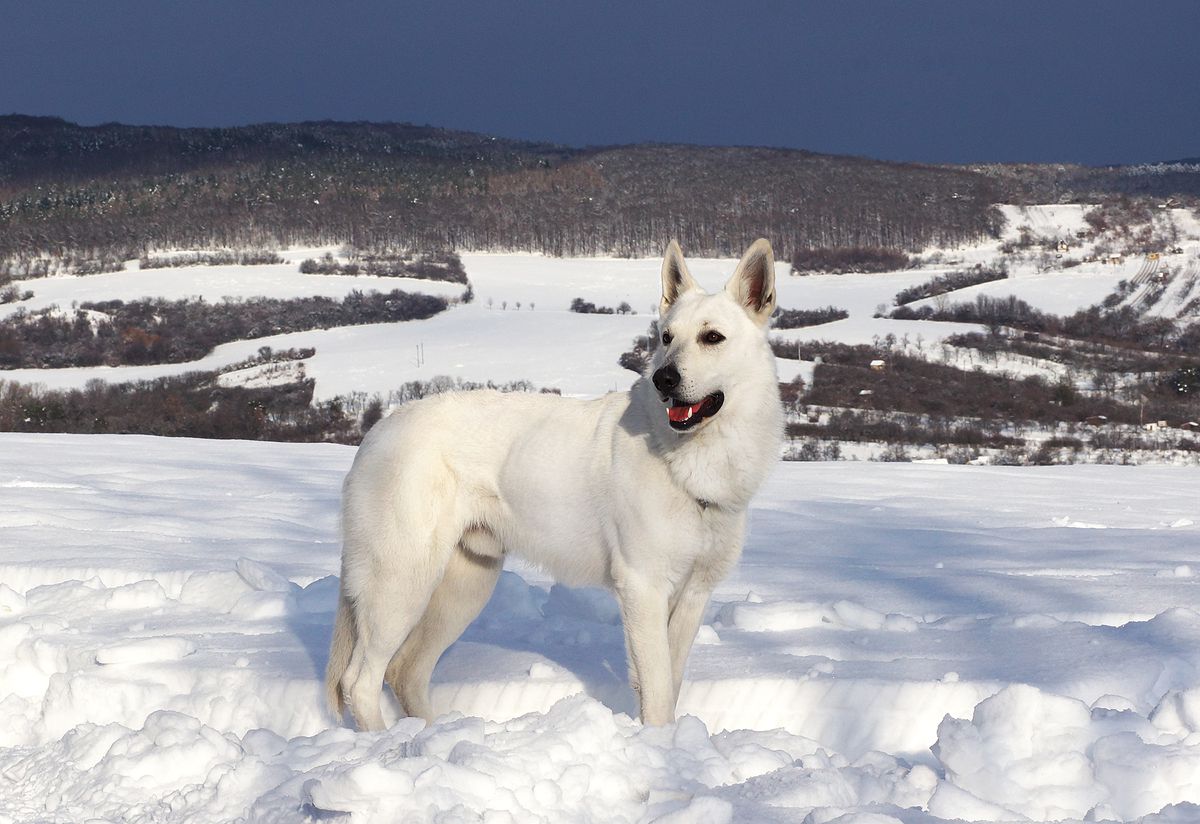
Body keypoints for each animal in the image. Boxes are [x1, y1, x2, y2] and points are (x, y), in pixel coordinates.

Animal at [324, 238, 782, 729]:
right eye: (667, 338)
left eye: (712, 337)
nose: (664, 379)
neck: (685, 458)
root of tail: (377, 433)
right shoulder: (643, 587)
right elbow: (658, 694)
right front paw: (661, 745)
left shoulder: (693, 595)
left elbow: (669, 686)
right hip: (400, 584)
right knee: (360, 681)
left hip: (465, 586)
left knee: (405, 670)